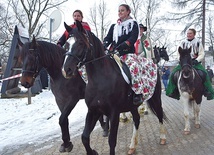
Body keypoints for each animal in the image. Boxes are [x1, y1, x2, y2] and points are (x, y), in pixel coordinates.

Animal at [61, 20, 167, 155]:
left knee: (159, 114)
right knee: (137, 120)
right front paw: (92, 152)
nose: (66, 70)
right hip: (132, 105)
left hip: (155, 98)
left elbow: (111, 140)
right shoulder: (94, 110)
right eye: (66, 44)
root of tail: (153, 64)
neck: (100, 80)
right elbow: (84, 137)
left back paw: (162, 138)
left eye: (80, 43)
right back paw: (132, 146)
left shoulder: (114, 112)